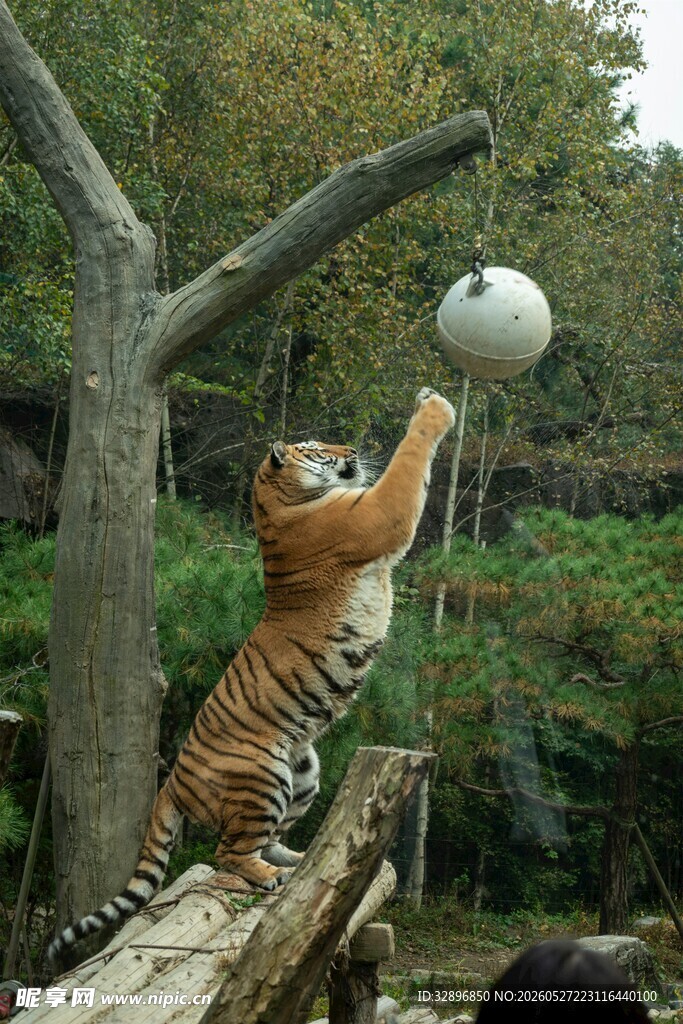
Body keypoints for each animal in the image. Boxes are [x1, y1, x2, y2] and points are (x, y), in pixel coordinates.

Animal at [48, 386, 455, 963]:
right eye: (318, 448)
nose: (350, 447)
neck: (275, 501)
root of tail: (170, 782)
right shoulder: (377, 512)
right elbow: (409, 458)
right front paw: (434, 407)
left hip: (305, 770)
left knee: (267, 838)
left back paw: (297, 859)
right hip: (261, 775)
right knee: (227, 852)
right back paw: (267, 876)